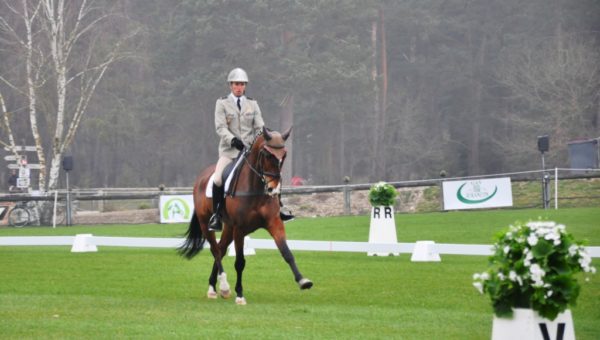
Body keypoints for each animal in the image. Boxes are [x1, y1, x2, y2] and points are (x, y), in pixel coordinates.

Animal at [178, 125, 314, 306]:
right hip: (206, 223)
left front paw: (302, 281)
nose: (273, 188)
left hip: (229, 227)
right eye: (267, 154)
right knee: (215, 249)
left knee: (220, 249)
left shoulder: (274, 222)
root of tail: (201, 177)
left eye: (283, 155)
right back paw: (223, 287)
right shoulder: (240, 229)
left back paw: (214, 287)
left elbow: (287, 252)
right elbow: (240, 262)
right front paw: (240, 294)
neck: (256, 188)